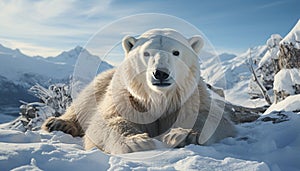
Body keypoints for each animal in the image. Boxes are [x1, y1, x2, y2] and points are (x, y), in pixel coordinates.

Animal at [41, 28, 237, 154]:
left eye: (176, 52)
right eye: (146, 53)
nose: (160, 73)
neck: (159, 98)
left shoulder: (190, 97)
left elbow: (210, 116)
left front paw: (181, 135)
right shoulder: (128, 98)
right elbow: (107, 120)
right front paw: (137, 142)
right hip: (101, 83)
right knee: (84, 102)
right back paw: (58, 123)